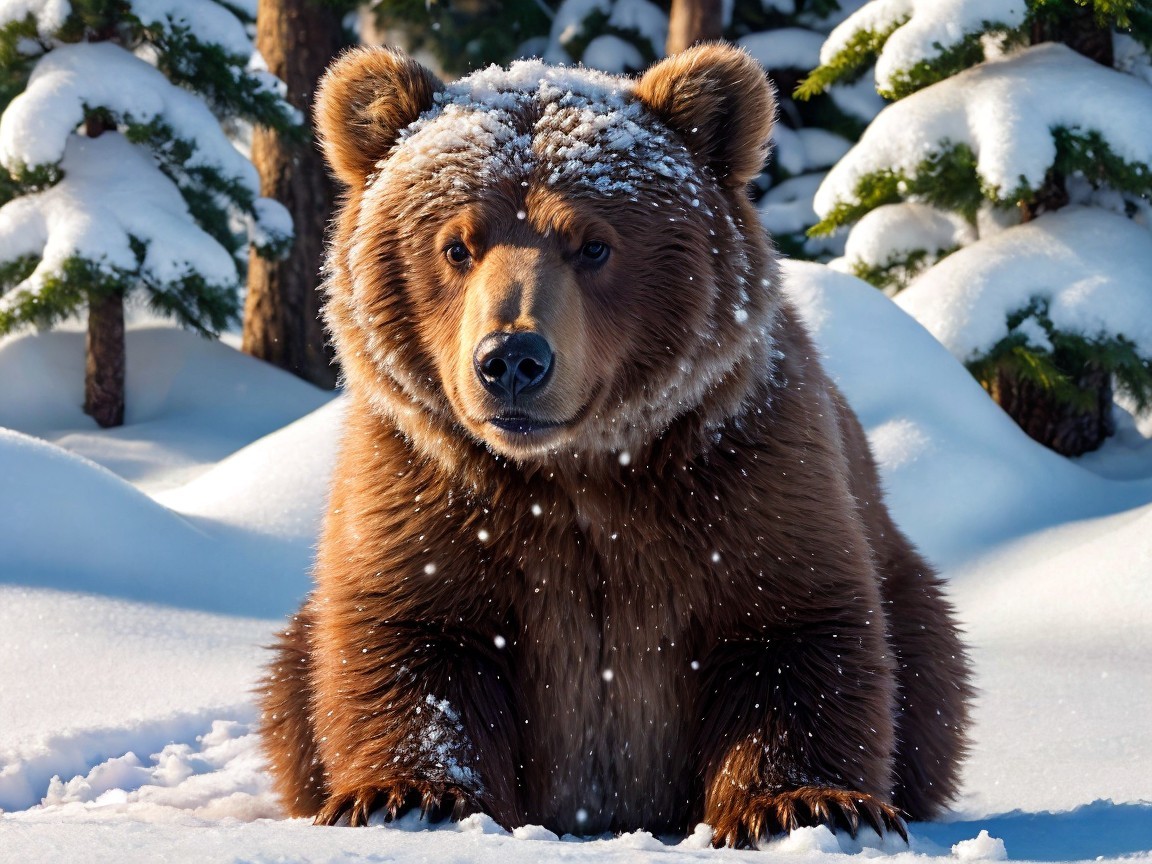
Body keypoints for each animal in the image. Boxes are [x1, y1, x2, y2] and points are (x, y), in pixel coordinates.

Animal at [259, 43, 972, 848]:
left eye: (593, 243)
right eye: (457, 245)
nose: (512, 359)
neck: (581, 470)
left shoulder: (745, 472)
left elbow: (790, 635)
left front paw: (806, 804)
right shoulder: (431, 485)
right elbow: (416, 637)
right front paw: (406, 796)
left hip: (909, 598)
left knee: (929, 673)